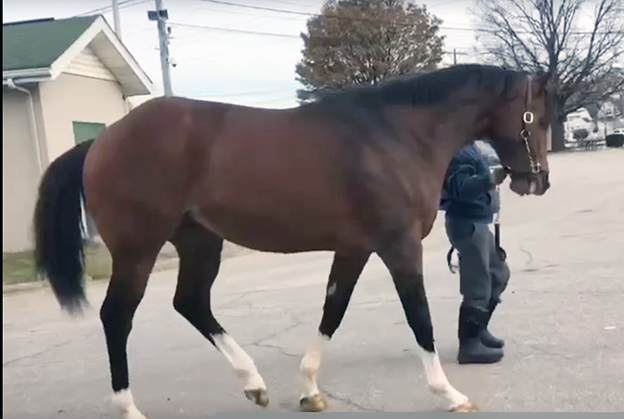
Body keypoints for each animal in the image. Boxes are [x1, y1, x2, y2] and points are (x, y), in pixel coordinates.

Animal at [33, 64, 553, 418]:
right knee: (117, 317)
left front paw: (309, 390)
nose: (537, 181)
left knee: (191, 303)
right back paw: (129, 408)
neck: (395, 136)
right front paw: (450, 394)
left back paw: (253, 383)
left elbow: (332, 312)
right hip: (138, 250)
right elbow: (419, 317)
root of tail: (99, 143)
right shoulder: (400, 247)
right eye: (541, 117)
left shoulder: (354, 248)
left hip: (200, 243)